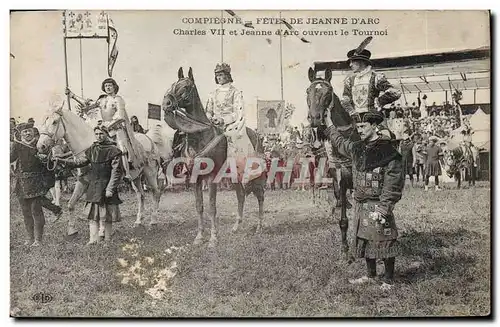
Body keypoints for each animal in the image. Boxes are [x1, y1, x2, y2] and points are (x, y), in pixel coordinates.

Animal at [35, 105, 172, 236]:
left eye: (54, 122)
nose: (40, 146)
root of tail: (150, 140)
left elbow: (100, 206)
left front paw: (101, 232)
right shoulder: (82, 182)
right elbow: (71, 204)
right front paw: (72, 230)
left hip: (150, 174)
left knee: (156, 193)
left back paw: (153, 221)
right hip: (136, 177)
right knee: (141, 195)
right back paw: (138, 221)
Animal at [163, 67, 266, 249]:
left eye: (186, 87)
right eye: (173, 84)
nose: (166, 103)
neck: (201, 136)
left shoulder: (211, 177)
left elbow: (212, 207)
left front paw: (213, 238)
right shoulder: (195, 177)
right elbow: (199, 206)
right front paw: (199, 237)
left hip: (255, 176)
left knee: (260, 196)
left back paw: (259, 227)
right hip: (235, 177)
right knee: (241, 196)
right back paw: (236, 226)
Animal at [304, 67, 360, 262]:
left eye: (327, 92)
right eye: (308, 91)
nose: (315, 118)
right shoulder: (341, 180)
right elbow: (343, 220)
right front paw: (345, 250)